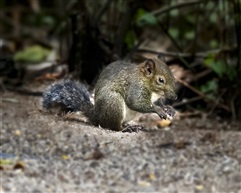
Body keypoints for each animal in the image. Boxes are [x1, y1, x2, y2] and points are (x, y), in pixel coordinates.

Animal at [42, 56, 177, 130]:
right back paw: (126, 129)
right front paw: (158, 110)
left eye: (173, 75)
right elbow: (136, 103)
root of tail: (97, 115)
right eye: (161, 80)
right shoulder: (135, 87)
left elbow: (159, 103)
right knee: (113, 126)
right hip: (113, 102)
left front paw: (168, 108)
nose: (175, 97)